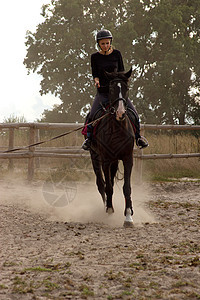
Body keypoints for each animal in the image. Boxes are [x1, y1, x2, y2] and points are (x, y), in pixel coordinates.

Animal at [88, 68, 134, 227]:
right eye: (112, 88)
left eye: (126, 88)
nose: (120, 113)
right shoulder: (106, 160)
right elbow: (107, 186)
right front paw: (109, 210)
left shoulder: (127, 159)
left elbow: (126, 188)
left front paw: (128, 216)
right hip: (95, 157)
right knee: (101, 184)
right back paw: (105, 206)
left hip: (115, 161)